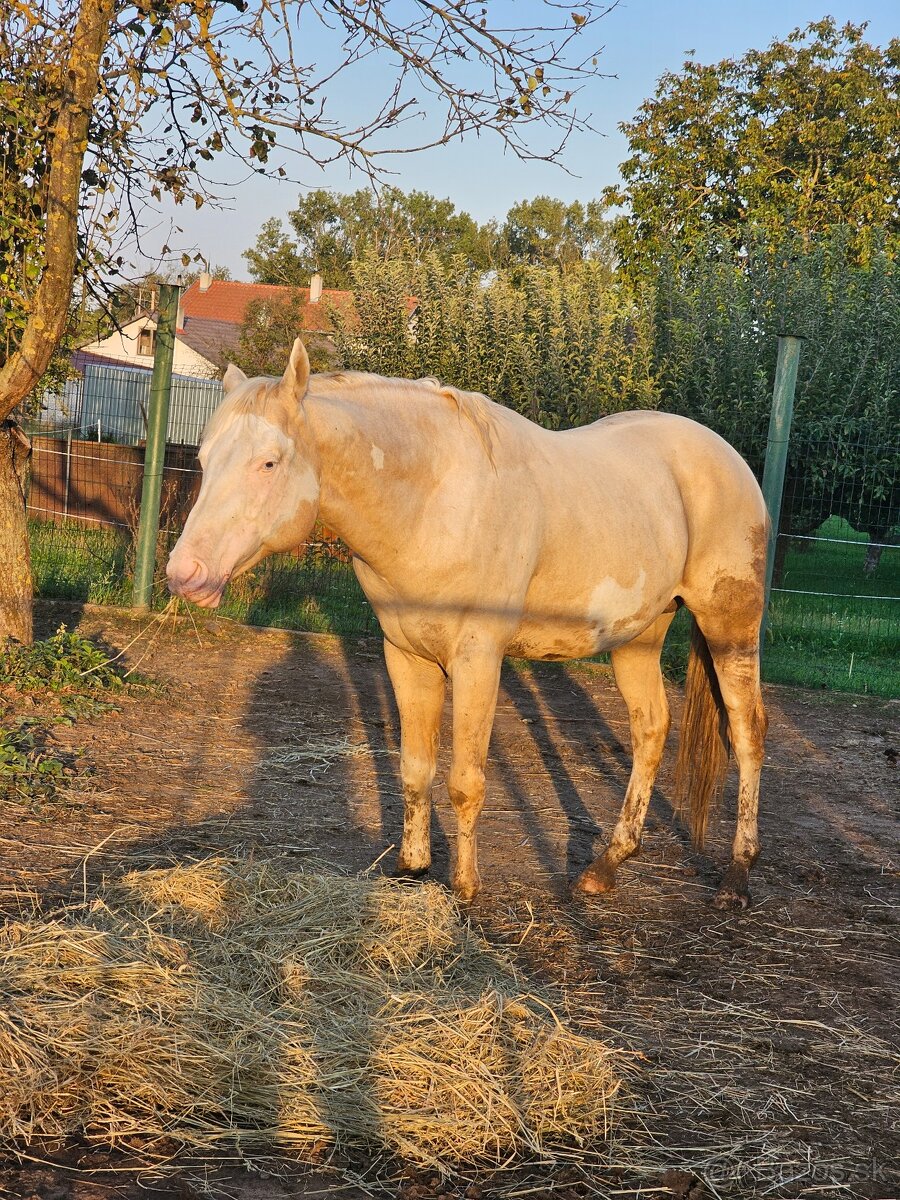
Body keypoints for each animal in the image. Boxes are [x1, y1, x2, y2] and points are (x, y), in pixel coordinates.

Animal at [167, 339, 770, 910]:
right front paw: (412, 869)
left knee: (748, 734)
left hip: (730, 629)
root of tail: (731, 461)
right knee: (651, 730)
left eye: (269, 463)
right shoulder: (406, 656)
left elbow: (465, 781)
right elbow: (415, 768)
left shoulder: (478, 657)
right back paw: (606, 866)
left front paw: (464, 888)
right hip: (638, 639)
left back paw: (737, 877)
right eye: (205, 458)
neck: (432, 501)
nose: (184, 573)